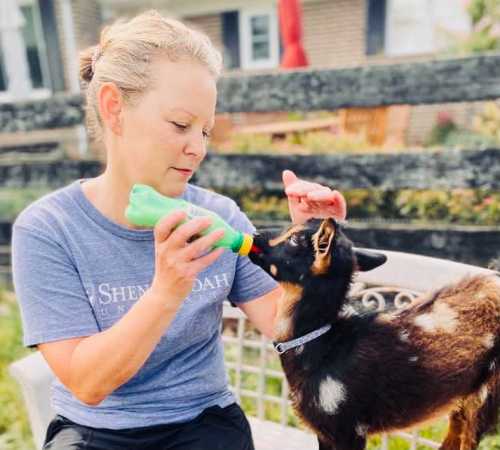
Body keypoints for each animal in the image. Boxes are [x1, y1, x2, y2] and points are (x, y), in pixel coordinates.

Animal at [250, 216, 500, 448]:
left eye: (294, 239)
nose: (255, 235)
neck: (324, 347)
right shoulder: (324, 431)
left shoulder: (349, 428)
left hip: (485, 397)